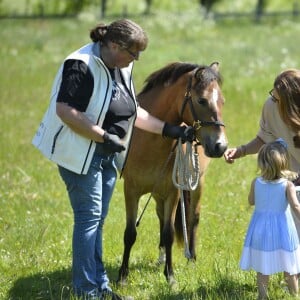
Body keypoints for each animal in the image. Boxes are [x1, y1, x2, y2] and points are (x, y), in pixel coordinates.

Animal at [117, 61, 227, 286]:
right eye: (202, 100)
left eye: (222, 101)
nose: (221, 146)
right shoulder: (131, 190)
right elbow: (130, 232)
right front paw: (123, 276)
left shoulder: (173, 192)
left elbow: (169, 233)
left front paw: (170, 276)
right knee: (160, 216)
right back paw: (160, 258)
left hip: (196, 184)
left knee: (192, 217)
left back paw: (191, 258)